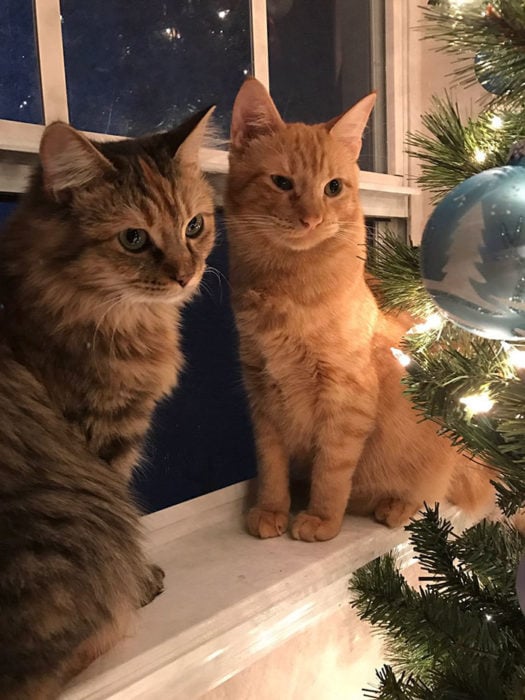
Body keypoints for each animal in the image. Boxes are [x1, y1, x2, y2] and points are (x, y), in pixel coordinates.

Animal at [223, 79, 494, 544]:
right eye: (281, 182)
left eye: (333, 188)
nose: (311, 219)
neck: (289, 288)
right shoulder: (262, 397)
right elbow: (272, 468)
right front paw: (273, 509)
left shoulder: (345, 399)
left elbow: (331, 473)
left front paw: (321, 520)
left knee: (428, 493)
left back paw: (394, 506)